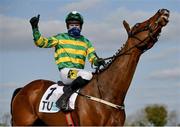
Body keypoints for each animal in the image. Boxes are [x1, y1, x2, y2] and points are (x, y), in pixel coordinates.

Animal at [10, 9, 169, 126]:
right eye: (137, 25)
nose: (163, 11)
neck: (107, 93)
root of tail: (23, 89)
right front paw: (34, 22)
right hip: (22, 123)